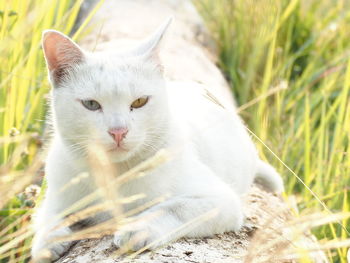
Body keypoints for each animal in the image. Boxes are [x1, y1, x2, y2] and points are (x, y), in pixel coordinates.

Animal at [31, 18, 284, 262]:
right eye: (91, 104)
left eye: (140, 102)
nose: (118, 131)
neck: (116, 174)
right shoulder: (57, 190)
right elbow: (46, 216)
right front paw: (48, 242)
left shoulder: (220, 200)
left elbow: (172, 208)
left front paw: (137, 229)